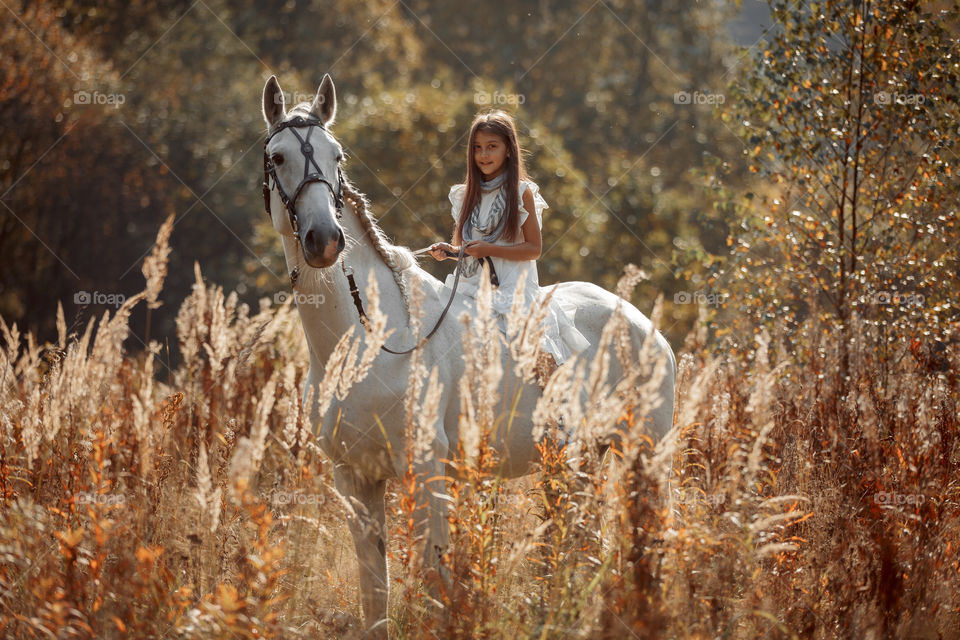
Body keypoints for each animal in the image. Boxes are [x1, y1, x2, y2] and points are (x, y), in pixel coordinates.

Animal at [256, 74, 676, 636]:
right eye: (277, 156)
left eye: (337, 155)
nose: (324, 239)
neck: (367, 345)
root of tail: (643, 323)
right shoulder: (355, 478)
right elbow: (375, 592)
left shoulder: (426, 470)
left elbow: (434, 582)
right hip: (579, 462)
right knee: (583, 546)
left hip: (645, 456)